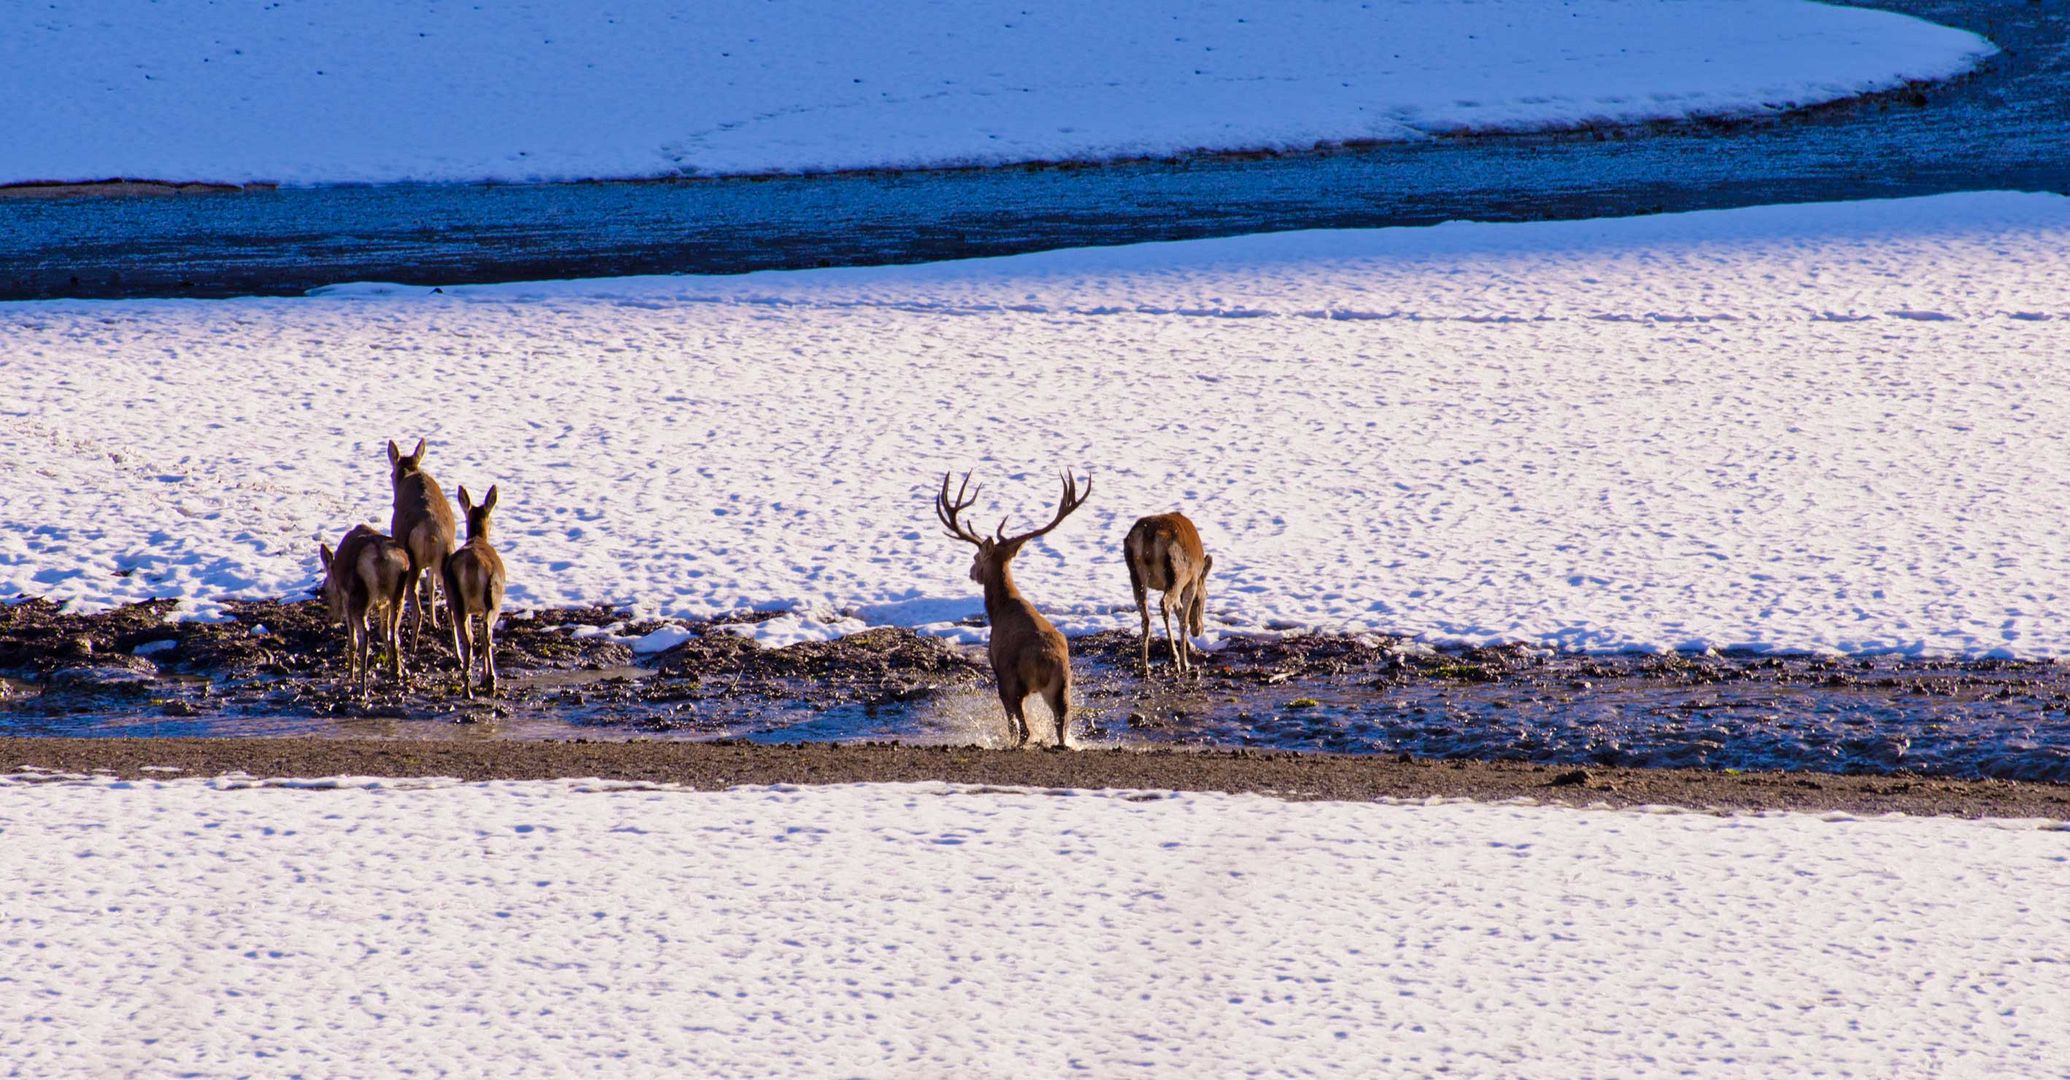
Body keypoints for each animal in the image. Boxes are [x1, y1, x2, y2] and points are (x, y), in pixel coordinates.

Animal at [316, 523, 409, 699]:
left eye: (325, 587)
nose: (331, 618)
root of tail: (381, 557)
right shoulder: (383, 603)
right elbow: (383, 630)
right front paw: (390, 663)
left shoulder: (346, 598)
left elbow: (352, 639)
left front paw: (350, 673)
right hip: (398, 594)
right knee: (394, 631)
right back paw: (398, 673)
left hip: (359, 598)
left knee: (364, 636)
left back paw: (362, 687)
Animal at [389, 432, 457, 649]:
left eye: (391, 474)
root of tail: (431, 535)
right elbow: (432, 585)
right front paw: (434, 623)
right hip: (445, 559)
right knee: (453, 609)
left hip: (412, 562)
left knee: (416, 609)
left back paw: (410, 648)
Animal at [939, 465, 1092, 744]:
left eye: (976, 556)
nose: (971, 572)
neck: (999, 608)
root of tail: (1047, 661)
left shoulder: (998, 669)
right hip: (1063, 687)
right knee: (1061, 728)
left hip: (1013, 683)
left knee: (1023, 730)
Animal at [1134, 511, 1208, 670]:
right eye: (1205, 595)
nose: (1198, 630)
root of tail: (1148, 536)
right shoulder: (1191, 581)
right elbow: (1183, 617)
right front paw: (1185, 658)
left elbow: (1178, 610)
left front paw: (1189, 646)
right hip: (1176, 574)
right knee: (1164, 604)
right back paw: (1178, 659)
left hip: (1136, 576)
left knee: (1146, 617)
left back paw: (1144, 667)